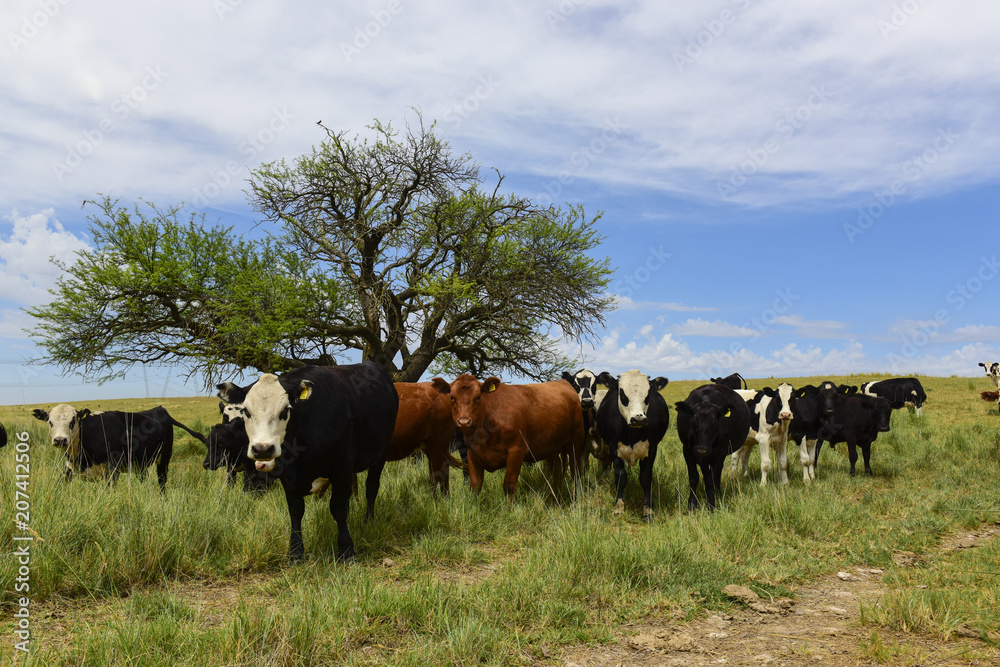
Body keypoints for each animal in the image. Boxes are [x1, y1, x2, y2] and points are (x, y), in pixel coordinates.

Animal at [32, 402, 205, 490]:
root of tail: (161, 410)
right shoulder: (69, 468)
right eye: (50, 422)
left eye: (73, 421)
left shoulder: (113, 467)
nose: (60, 440)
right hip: (140, 464)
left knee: (162, 483)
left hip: (164, 459)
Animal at [219, 360, 398, 564]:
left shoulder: (341, 466)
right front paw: (296, 552)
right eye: (246, 411)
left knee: (371, 487)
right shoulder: (288, 473)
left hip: (380, 454)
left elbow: (337, 507)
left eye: (285, 410)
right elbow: (296, 509)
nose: (263, 449)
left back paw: (369, 521)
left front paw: (346, 550)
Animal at [430, 376, 584, 496]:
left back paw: (576, 499)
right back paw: (555, 495)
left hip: (575, 442)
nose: (463, 421)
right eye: (452, 397)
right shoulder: (472, 454)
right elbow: (475, 485)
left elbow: (509, 485)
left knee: (576, 472)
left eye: (478, 397)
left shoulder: (516, 451)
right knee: (556, 470)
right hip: (551, 447)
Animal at [588, 370, 668, 520]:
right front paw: (619, 507)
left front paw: (648, 509)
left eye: (648, 395)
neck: (632, 434)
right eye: (623, 394)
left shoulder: (651, 450)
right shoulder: (615, 451)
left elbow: (646, 478)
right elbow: (621, 478)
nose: (638, 419)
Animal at [672, 380, 752, 512]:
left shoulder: (719, 453)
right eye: (693, 423)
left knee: (715, 475)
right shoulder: (687, 451)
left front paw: (711, 505)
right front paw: (692, 505)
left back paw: (717, 495)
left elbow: (712, 479)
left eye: (715, 425)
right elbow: (694, 477)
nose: (702, 449)